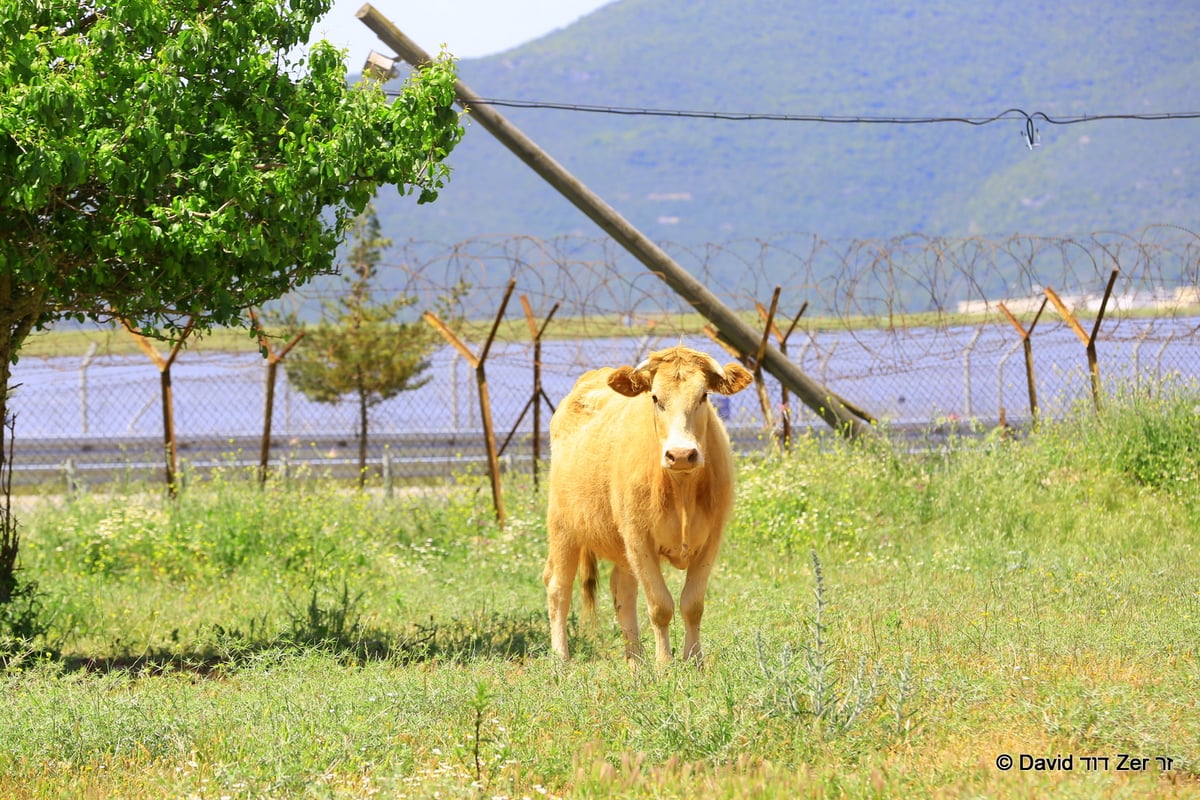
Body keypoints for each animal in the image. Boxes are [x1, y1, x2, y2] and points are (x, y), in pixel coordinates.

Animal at [544, 345, 748, 662]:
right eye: (655, 398)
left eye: (703, 395)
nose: (681, 454)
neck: (680, 488)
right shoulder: (639, 539)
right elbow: (660, 606)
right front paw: (664, 664)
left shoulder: (710, 540)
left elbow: (692, 604)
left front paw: (694, 661)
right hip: (563, 526)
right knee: (558, 587)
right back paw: (561, 659)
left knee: (623, 592)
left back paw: (636, 662)